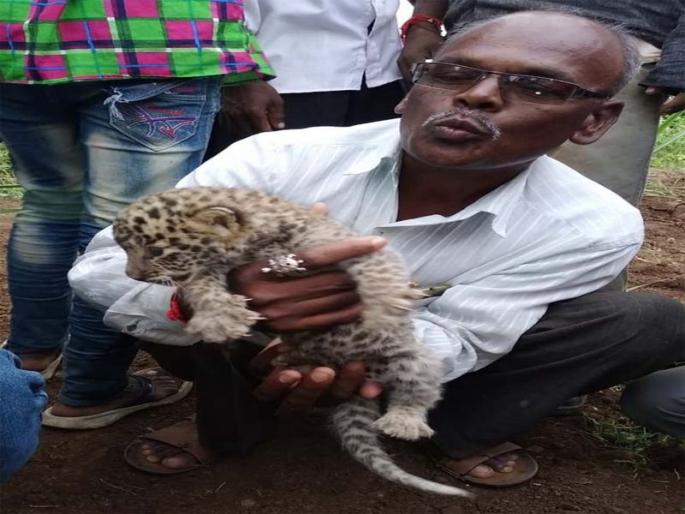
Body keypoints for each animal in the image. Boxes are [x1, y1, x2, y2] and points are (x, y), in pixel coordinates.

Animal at [113, 186, 472, 498]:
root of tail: (354, 373)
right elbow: (200, 285)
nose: (132, 276)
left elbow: (375, 266)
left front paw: (388, 302)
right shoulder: (211, 269)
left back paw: (404, 421)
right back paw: (287, 361)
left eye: (156, 251)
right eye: (125, 250)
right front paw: (221, 316)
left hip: (409, 357)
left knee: (418, 389)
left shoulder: (342, 240)